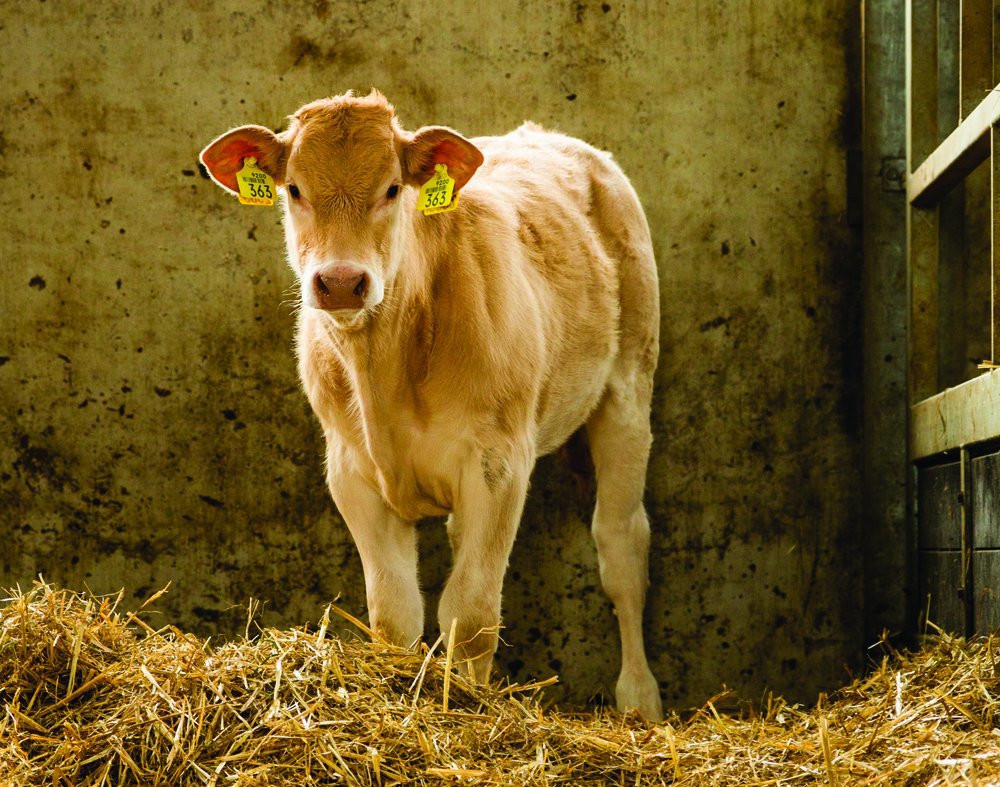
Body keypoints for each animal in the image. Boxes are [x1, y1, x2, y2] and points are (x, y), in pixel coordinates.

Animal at [200, 87, 664, 720]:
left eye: (394, 188)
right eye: (293, 188)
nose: (340, 282)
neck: (386, 372)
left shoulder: (499, 464)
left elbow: (471, 616)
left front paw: (468, 707)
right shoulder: (351, 471)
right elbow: (395, 615)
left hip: (629, 385)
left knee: (622, 548)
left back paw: (641, 702)